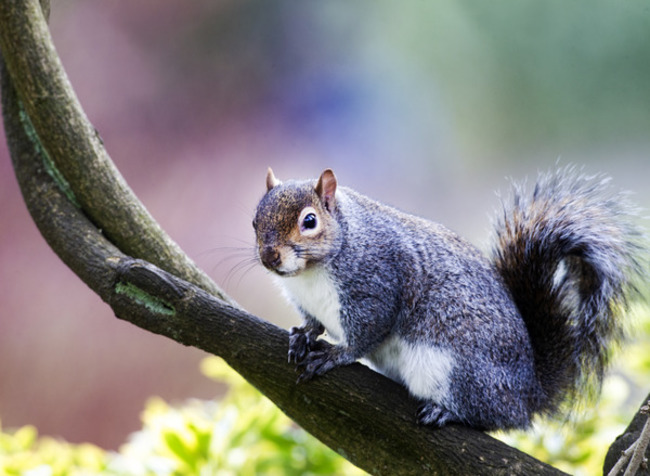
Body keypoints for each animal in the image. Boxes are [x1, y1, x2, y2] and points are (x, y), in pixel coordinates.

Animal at [252, 166, 645, 431]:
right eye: (255, 221)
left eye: (310, 221)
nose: (269, 257)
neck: (310, 274)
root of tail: (527, 394)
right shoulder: (308, 302)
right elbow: (313, 322)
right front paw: (304, 335)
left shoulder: (378, 287)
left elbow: (367, 334)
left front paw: (335, 355)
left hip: (459, 370)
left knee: (491, 416)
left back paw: (449, 410)